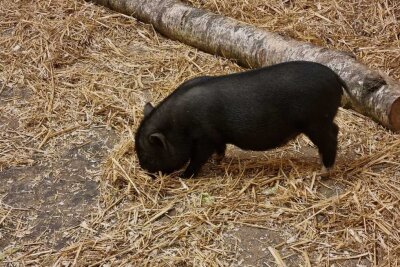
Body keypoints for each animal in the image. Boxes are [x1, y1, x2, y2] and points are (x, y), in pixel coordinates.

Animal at [134, 60, 346, 178]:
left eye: (146, 155)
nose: (147, 174)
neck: (179, 126)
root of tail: (336, 78)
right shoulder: (217, 137)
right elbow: (221, 149)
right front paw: (218, 161)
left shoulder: (205, 138)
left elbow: (197, 159)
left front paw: (184, 177)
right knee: (334, 130)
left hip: (316, 121)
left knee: (331, 137)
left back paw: (323, 173)